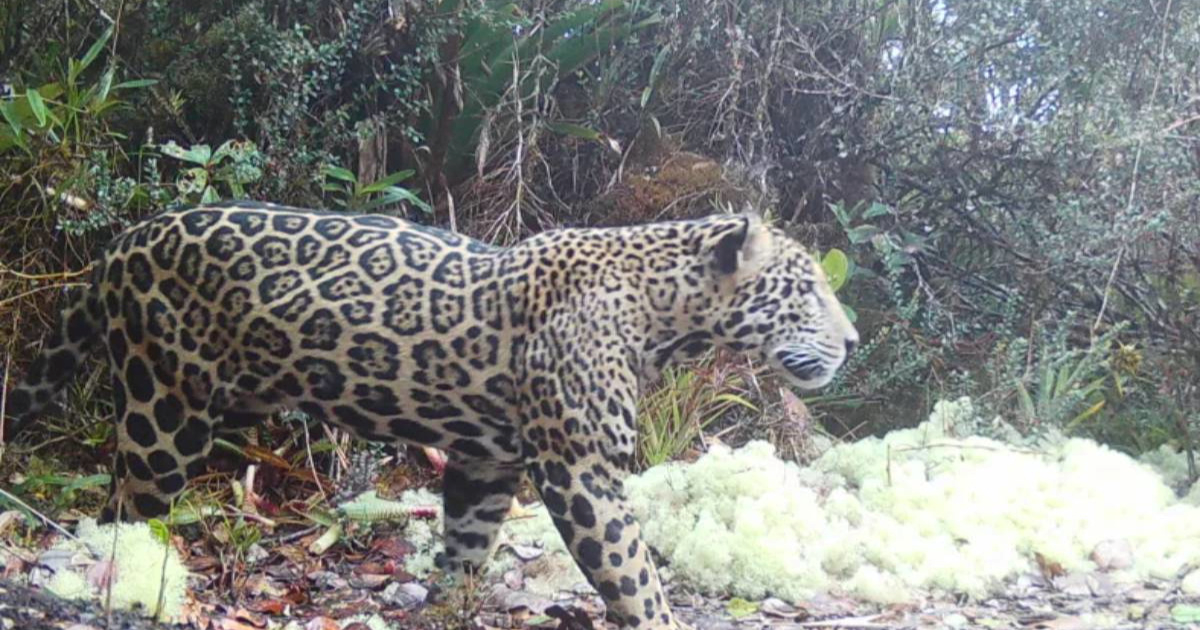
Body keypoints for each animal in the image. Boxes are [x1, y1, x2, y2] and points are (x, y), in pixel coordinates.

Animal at [2, 201, 858, 629]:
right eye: (807, 288)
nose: (852, 341)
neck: (665, 316)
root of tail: (122, 242)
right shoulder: (579, 468)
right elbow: (633, 573)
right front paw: (656, 619)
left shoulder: (488, 460)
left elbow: (468, 546)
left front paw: (450, 607)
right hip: (165, 409)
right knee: (123, 511)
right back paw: (126, 583)